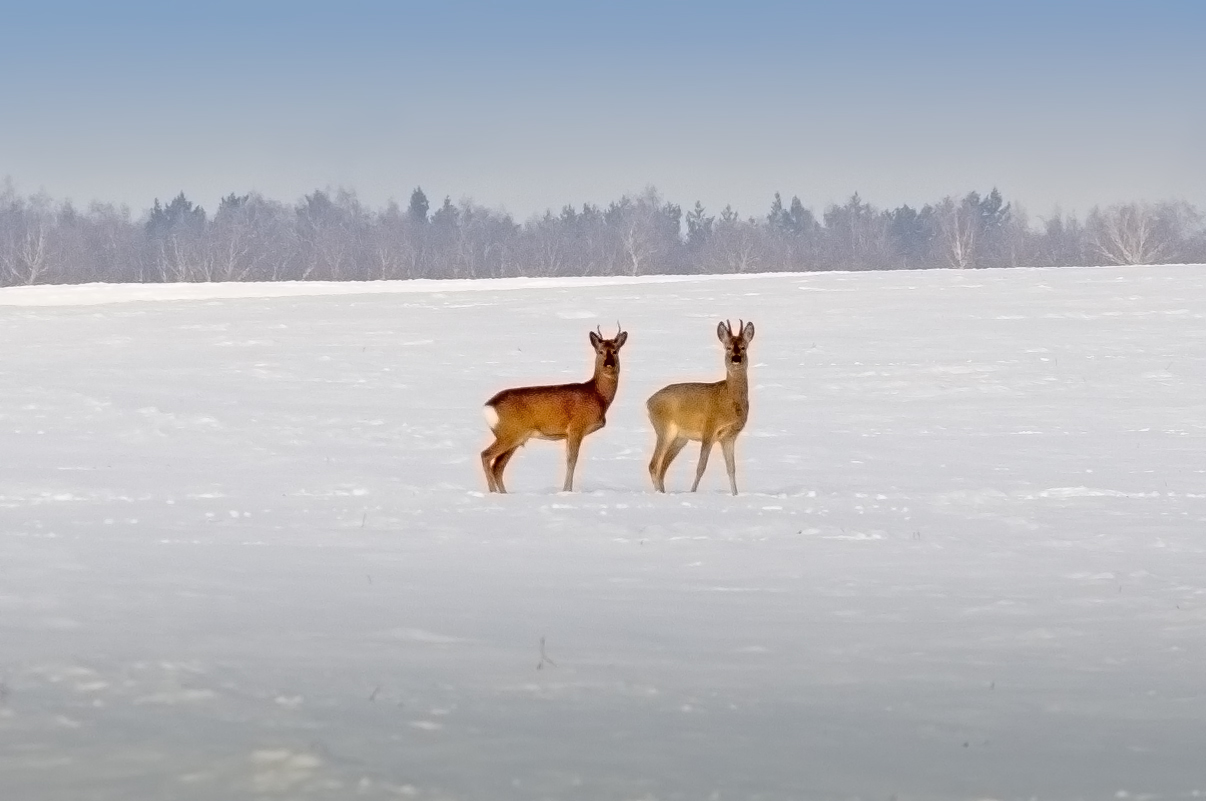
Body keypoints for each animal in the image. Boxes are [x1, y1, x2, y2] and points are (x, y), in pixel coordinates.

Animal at [479, 323, 631, 492]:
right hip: (509, 434)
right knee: (486, 455)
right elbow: (572, 460)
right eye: (600, 351)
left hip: (516, 437)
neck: (597, 396)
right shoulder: (576, 427)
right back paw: (493, 492)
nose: (609, 364)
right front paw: (567, 491)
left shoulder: (568, 433)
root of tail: (488, 406)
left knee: (498, 466)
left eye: (615, 351)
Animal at [651, 318, 752, 494]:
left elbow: (731, 469)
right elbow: (701, 467)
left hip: (680, 438)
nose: (736, 358)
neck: (728, 399)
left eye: (743, 347)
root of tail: (648, 402)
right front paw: (692, 492)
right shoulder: (709, 429)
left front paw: (735, 494)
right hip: (664, 430)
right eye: (728, 347)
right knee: (654, 466)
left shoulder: (729, 437)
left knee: (662, 468)